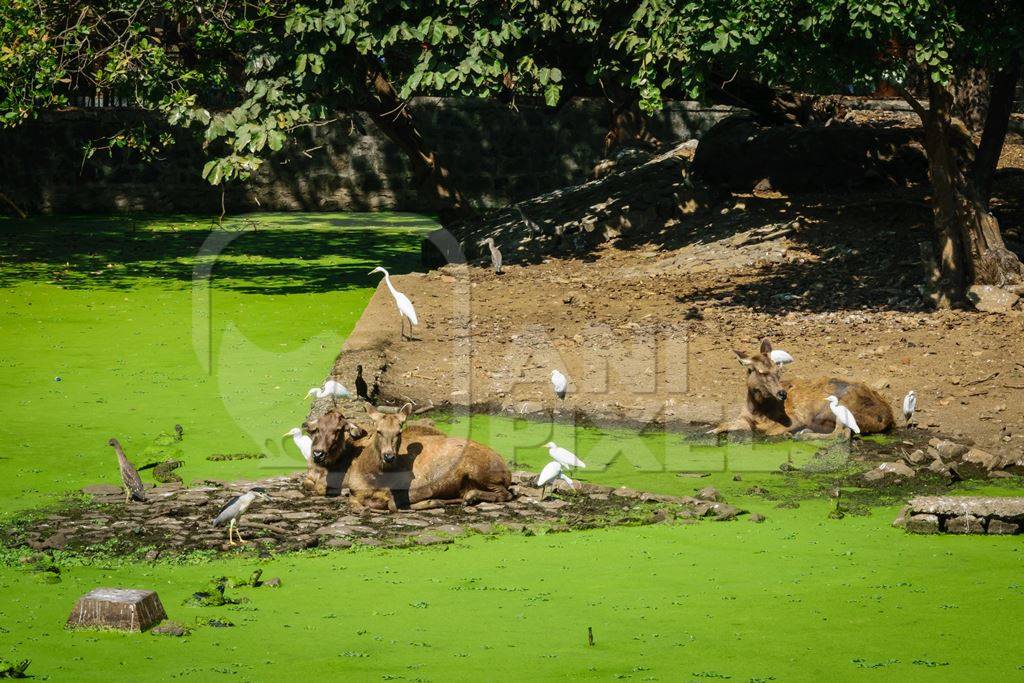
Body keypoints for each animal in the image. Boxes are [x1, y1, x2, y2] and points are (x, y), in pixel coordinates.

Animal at [712, 337, 897, 438]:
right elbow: (723, 425)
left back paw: (803, 435)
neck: (758, 411)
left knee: (841, 434)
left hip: (842, 406)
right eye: (759, 371)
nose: (782, 393)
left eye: (778, 370)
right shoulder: (743, 417)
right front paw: (710, 432)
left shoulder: (794, 418)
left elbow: (767, 432)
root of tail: (886, 417)